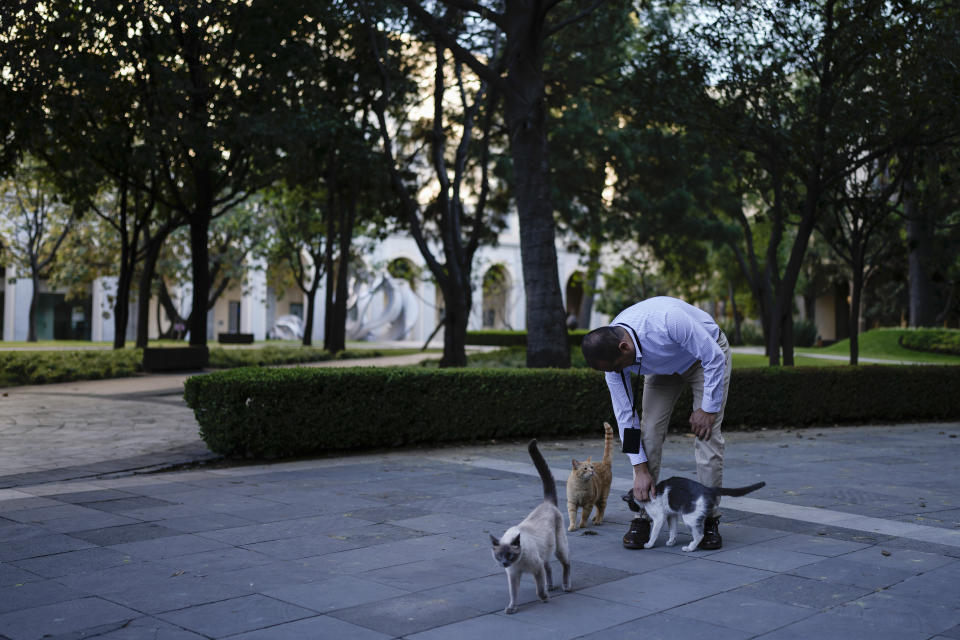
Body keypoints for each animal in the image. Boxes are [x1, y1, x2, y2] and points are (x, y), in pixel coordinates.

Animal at [488, 440, 568, 616]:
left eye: (510, 555)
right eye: (500, 556)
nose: (504, 563)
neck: (519, 565)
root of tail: (547, 502)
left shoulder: (537, 569)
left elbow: (539, 588)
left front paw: (544, 598)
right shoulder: (513, 576)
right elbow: (514, 594)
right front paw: (512, 608)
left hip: (559, 548)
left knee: (566, 565)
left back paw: (566, 586)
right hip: (546, 551)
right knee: (549, 567)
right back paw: (551, 586)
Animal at [624, 478, 764, 552]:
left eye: (630, 505)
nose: (632, 509)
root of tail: (708, 489)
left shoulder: (659, 517)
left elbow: (654, 533)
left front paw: (649, 544)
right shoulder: (672, 515)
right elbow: (673, 530)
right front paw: (671, 541)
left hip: (689, 518)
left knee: (699, 535)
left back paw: (690, 548)